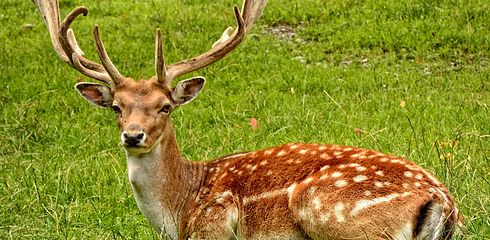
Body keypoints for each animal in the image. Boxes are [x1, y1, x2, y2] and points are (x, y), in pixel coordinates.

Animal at [33, 0, 460, 239]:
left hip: (329, 211)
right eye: (117, 107)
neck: (179, 209)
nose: (133, 136)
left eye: (165, 106)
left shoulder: (213, 226)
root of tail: (442, 201)